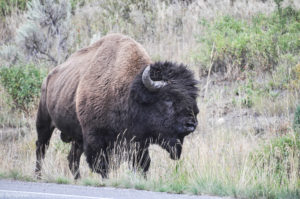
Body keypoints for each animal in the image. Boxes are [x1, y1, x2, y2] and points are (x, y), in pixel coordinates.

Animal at [35, 33, 199, 180]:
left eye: (193, 98)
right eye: (167, 99)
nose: (191, 124)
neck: (129, 92)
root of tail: (48, 78)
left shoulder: (138, 143)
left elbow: (142, 164)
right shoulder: (96, 139)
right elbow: (102, 166)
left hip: (77, 137)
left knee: (72, 158)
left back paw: (77, 179)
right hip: (44, 122)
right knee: (41, 147)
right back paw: (38, 175)